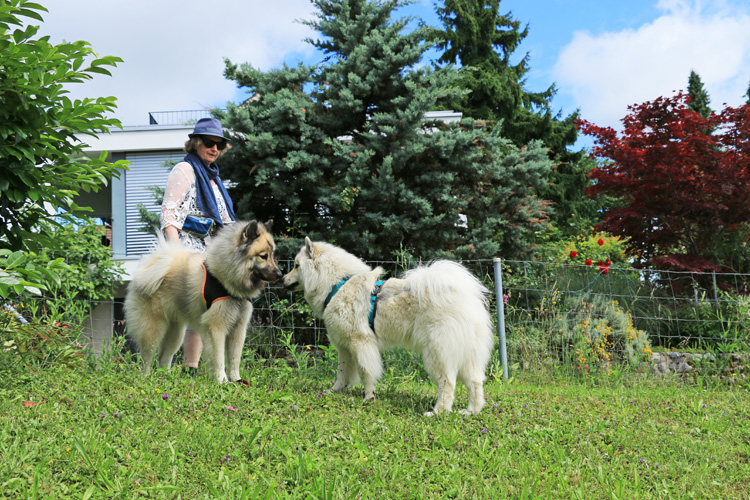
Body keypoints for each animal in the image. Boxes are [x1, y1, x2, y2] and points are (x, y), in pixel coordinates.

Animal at [282, 237, 494, 414]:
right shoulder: (344, 348)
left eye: (296, 266)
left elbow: (366, 373)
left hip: (438, 353)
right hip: (466, 354)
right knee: (476, 382)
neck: (338, 284)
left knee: (448, 383)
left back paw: (437, 412)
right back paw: (471, 411)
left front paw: (368, 398)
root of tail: (465, 296)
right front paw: (335, 391)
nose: (281, 279)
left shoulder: (361, 343)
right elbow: (342, 373)